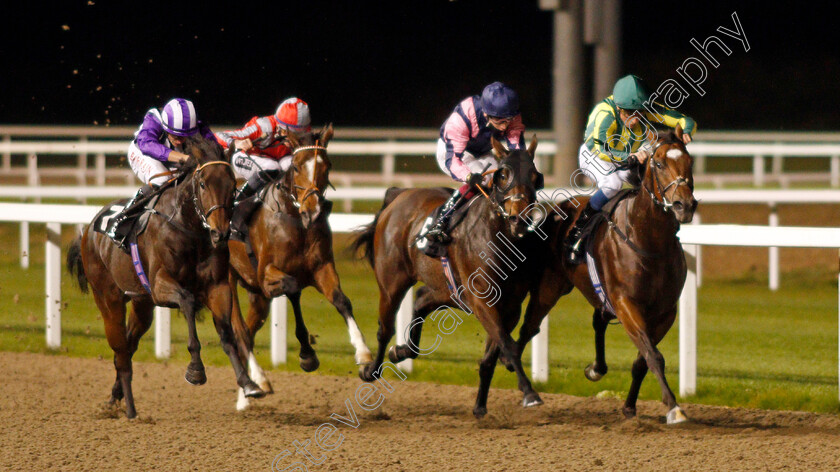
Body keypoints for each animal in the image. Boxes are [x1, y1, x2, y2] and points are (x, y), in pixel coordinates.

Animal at [67, 135, 264, 418]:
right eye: (202, 184)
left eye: (232, 185)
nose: (220, 233)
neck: (190, 228)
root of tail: (90, 229)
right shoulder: (160, 286)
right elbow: (188, 301)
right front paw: (196, 370)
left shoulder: (218, 287)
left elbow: (227, 333)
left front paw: (249, 384)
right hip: (108, 298)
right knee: (121, 352)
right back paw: (130, 411)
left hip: (141, 304)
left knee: (128, 346)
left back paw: (116, 397)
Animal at [230, 123, 374, 412]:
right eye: (296, 167)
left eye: (327, 165)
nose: (314, 210)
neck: (295, 219)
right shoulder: (266, 275)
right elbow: (293, 287)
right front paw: (307, 354)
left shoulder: (322, 267)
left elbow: (341, 300)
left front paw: (363, 353)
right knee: (238, 329)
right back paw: (259, 383)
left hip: (256, 296)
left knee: (248, 332)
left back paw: (245, 395)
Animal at [352, 136, 544, 416]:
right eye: (502, 174)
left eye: (535, 175)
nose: (519, 218)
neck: (500, 238)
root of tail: (399, 195)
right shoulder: (482, 301)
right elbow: (507, 345)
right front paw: (530, 393)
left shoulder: (511, 306)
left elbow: (493, 355)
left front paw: (480, 406)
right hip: (392, 283)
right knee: (385, 329)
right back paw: (371, 369)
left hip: (447, 288)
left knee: (421, 299)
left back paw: (401, 351)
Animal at [516, 126, 700, 424]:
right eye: (659, 164)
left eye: (690, 162)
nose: (684, 205)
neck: (650, 241)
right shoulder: (626, 303)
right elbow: (653, 355)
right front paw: (674, 407)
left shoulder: (665, 312)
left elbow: (642, 360)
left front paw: (630, 406)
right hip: (549, 287)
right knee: (528, 329)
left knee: (598, 320)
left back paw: (596, 368)